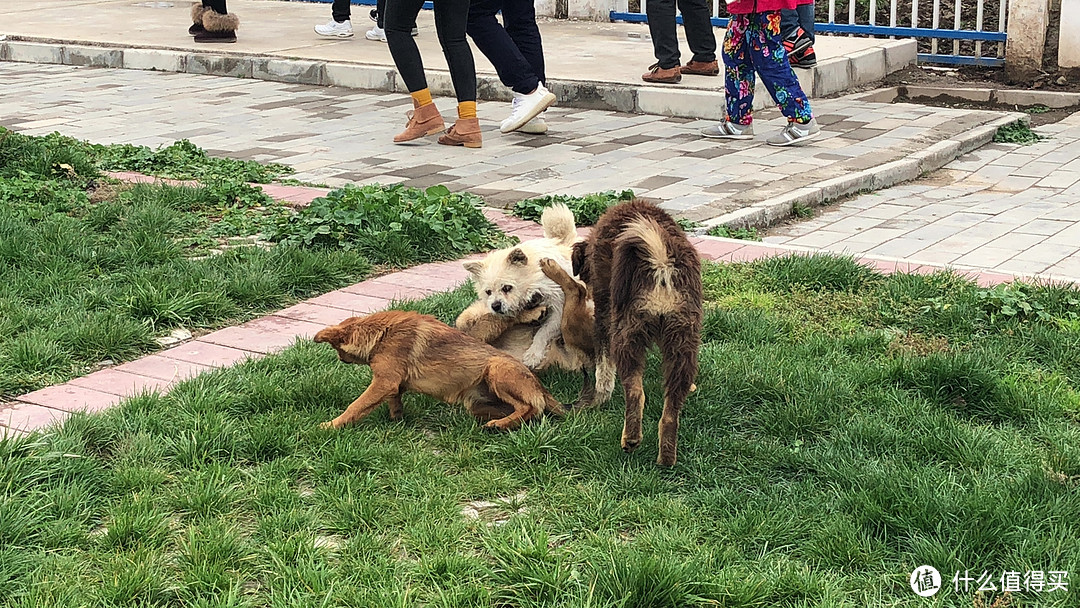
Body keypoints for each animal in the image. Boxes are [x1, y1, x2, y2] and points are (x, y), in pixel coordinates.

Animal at [313, 308, 565, 431]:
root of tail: (541, 388)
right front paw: (397, 419)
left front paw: (331, 425)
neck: (382, 333)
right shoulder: (392, 383)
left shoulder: (383, 382)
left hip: (496, 368)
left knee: (530, 407)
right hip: (476, 404)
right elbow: (394, 400)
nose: (341, 360)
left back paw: (500, 425)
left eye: (337, 350)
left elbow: (356, 406)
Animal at [574, 201, 699, 468]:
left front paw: (600, 395)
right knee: (671, 411)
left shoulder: (603, 312)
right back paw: (667, 458)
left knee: (635, 394)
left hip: (626, 333)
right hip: (682, 340)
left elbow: (603, 365)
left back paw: (630, 439)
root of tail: (661, 264)